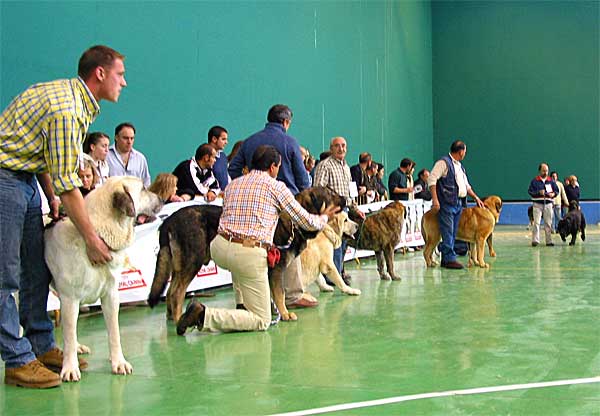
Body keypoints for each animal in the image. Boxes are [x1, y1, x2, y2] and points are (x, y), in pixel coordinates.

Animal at [45, 176, 162, 380]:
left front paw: (118, 362)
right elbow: (69, 335)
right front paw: (70, 367)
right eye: (143, 189)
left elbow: (114, 332)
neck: (96, 233)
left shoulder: (111, 295)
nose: (162, 199)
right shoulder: (70, 298)